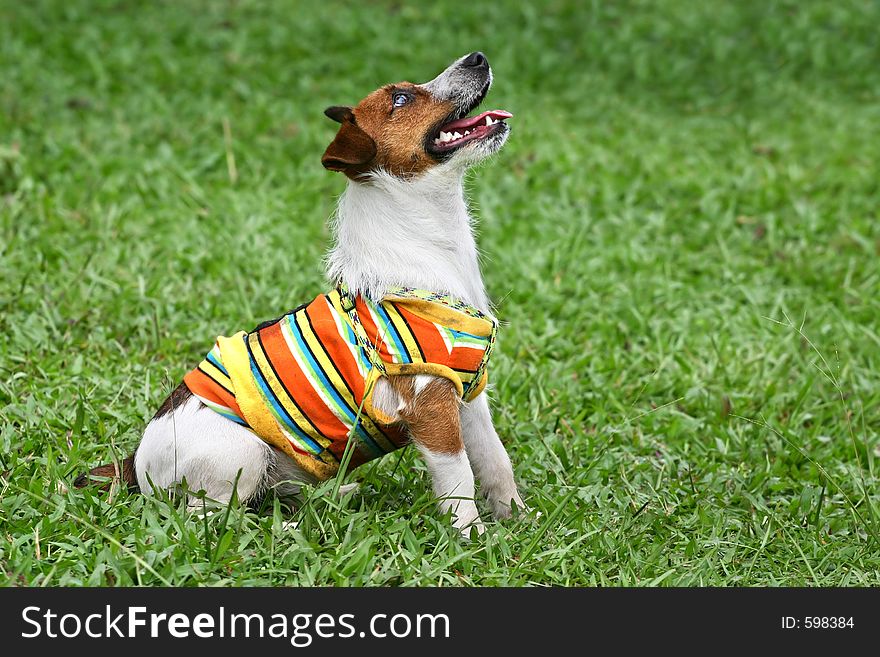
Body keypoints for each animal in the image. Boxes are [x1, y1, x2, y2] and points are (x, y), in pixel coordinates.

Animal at [77, 51, 524, 532]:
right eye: (401, 99)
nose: (477, 57)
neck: (431, 249)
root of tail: (135, 462)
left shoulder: (469, 399)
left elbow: (496, 463)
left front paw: (518, 517)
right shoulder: (431, 404)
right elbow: (459, 480)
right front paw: (471, 535)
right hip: (243, 453)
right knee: (215, 518)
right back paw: (287, 527)